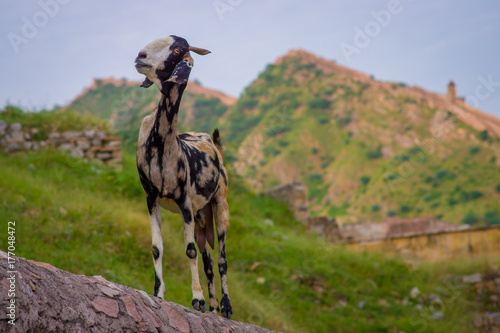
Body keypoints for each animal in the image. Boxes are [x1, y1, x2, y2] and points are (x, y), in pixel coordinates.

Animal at [134, 35, 233, 318]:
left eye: (177, 49)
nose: (140, 56)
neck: (164, 146)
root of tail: (213, 144)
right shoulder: (151, 197)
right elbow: (157, 248)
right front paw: (158, 293)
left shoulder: (184, 201)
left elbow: (189, 251)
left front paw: (197, 299)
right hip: (201, 216)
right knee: (208, 260)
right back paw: (213, 309)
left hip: (220, 205)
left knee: (221, 259)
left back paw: (225, 307)